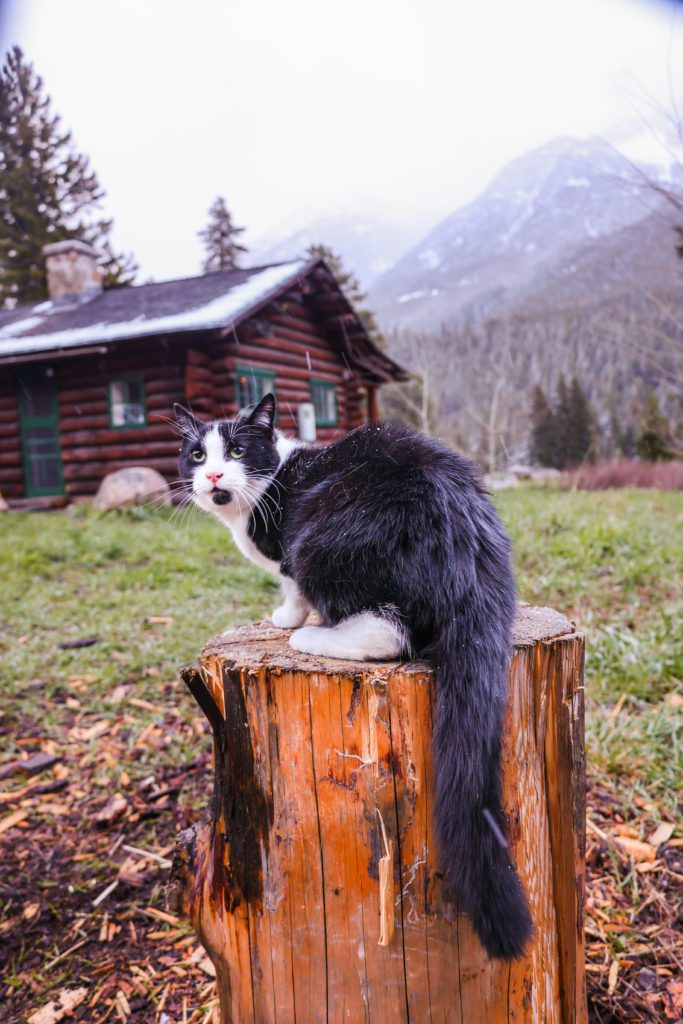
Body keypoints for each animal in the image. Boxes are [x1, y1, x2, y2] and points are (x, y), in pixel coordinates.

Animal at [175, 391, 532, 958]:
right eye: (196, 454)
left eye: (235, 450)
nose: (211, 476)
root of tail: (467, 535)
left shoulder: (287, 553)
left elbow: (291, 588)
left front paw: (288, 619)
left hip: (323, 536)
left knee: (388, 631)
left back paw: (313, 637)